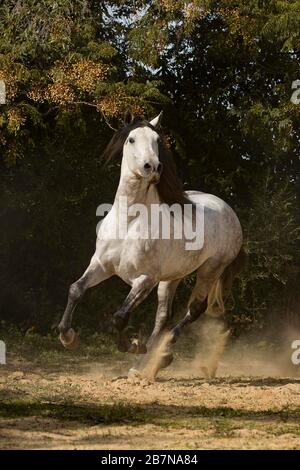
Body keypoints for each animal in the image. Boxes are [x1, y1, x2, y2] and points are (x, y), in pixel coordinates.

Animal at [57, 110, 243, 378]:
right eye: (131, 139)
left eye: (157, 140)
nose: (153, 167)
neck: (129, 221)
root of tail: (228, 210)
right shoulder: (101, 265)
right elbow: (76, 289)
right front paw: (68, 338)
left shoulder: (145, 278)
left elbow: (120, 315)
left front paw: (133, 345)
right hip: (172, 277)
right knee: (163, 316)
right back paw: (143, 366)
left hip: (210, 269)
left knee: (194, 309)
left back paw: (161, 355)